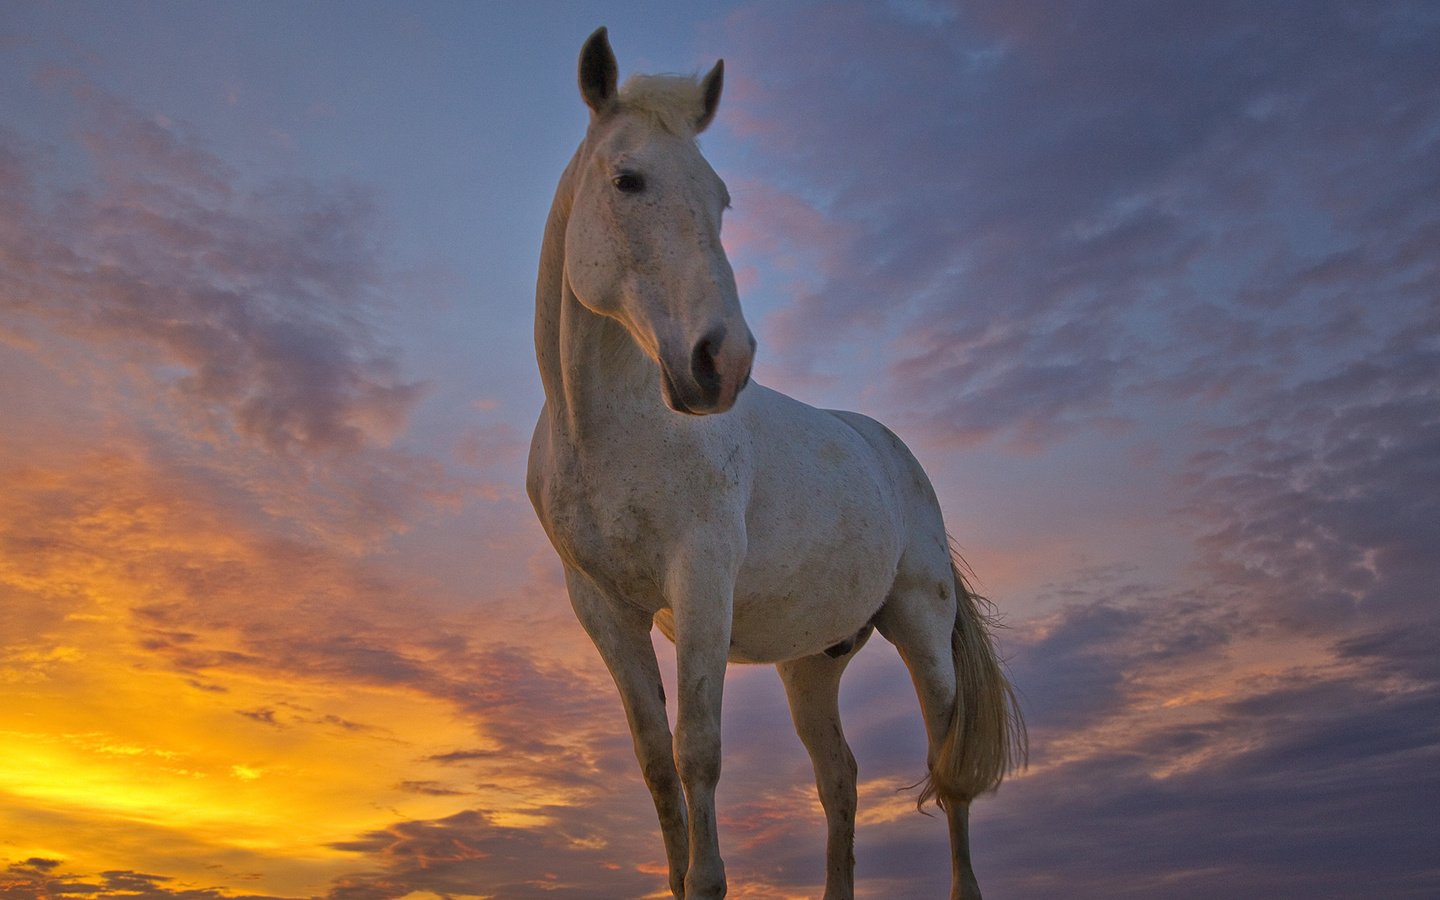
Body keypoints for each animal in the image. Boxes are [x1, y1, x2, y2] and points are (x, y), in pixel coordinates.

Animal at [529, 28, 1025, 898]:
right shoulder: (603, 610)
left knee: (948, 769)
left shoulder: (701, 582)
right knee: (840, 778)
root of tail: (892, 451)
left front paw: (707, 879)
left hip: (921, 625)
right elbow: (656, 763)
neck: (604, 432)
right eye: (627, 179)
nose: (720, 362)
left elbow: (698, 751)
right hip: (809, 665)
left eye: (722, 199)